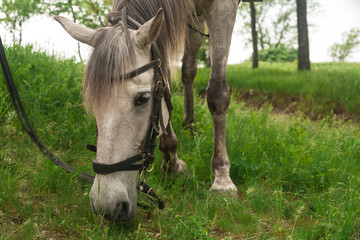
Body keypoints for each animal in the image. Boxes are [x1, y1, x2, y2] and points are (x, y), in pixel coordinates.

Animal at [55, 0, 239, 221]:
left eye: (142, 99)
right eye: (94, 103)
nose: (106, 204)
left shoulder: (223, 7)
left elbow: (217, 95)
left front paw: (222, 179)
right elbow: (166, 83)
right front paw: (172, 162)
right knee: (189, 68)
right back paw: (189, 123)